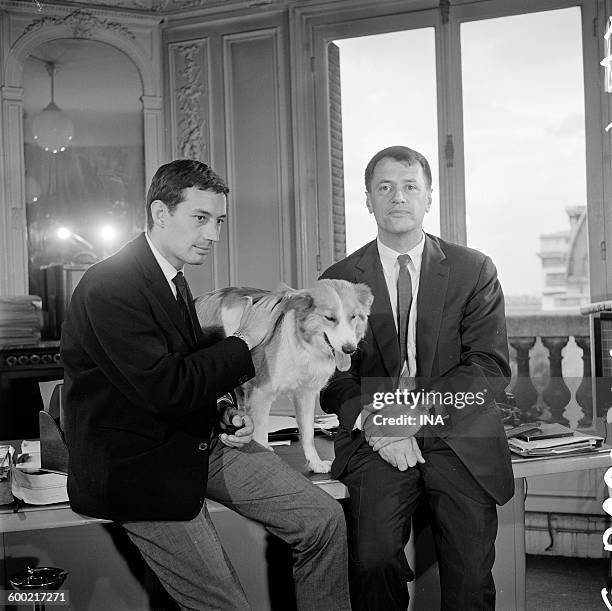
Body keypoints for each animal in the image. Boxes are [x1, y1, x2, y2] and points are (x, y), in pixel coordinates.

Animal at [194, 280, 372, 476]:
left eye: (353, 317)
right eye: (330, 318)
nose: (350, 349)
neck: (300, 341)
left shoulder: (305, 394)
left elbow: (308, 433)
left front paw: (314, 463)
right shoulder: (261, 393)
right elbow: (261, 433)